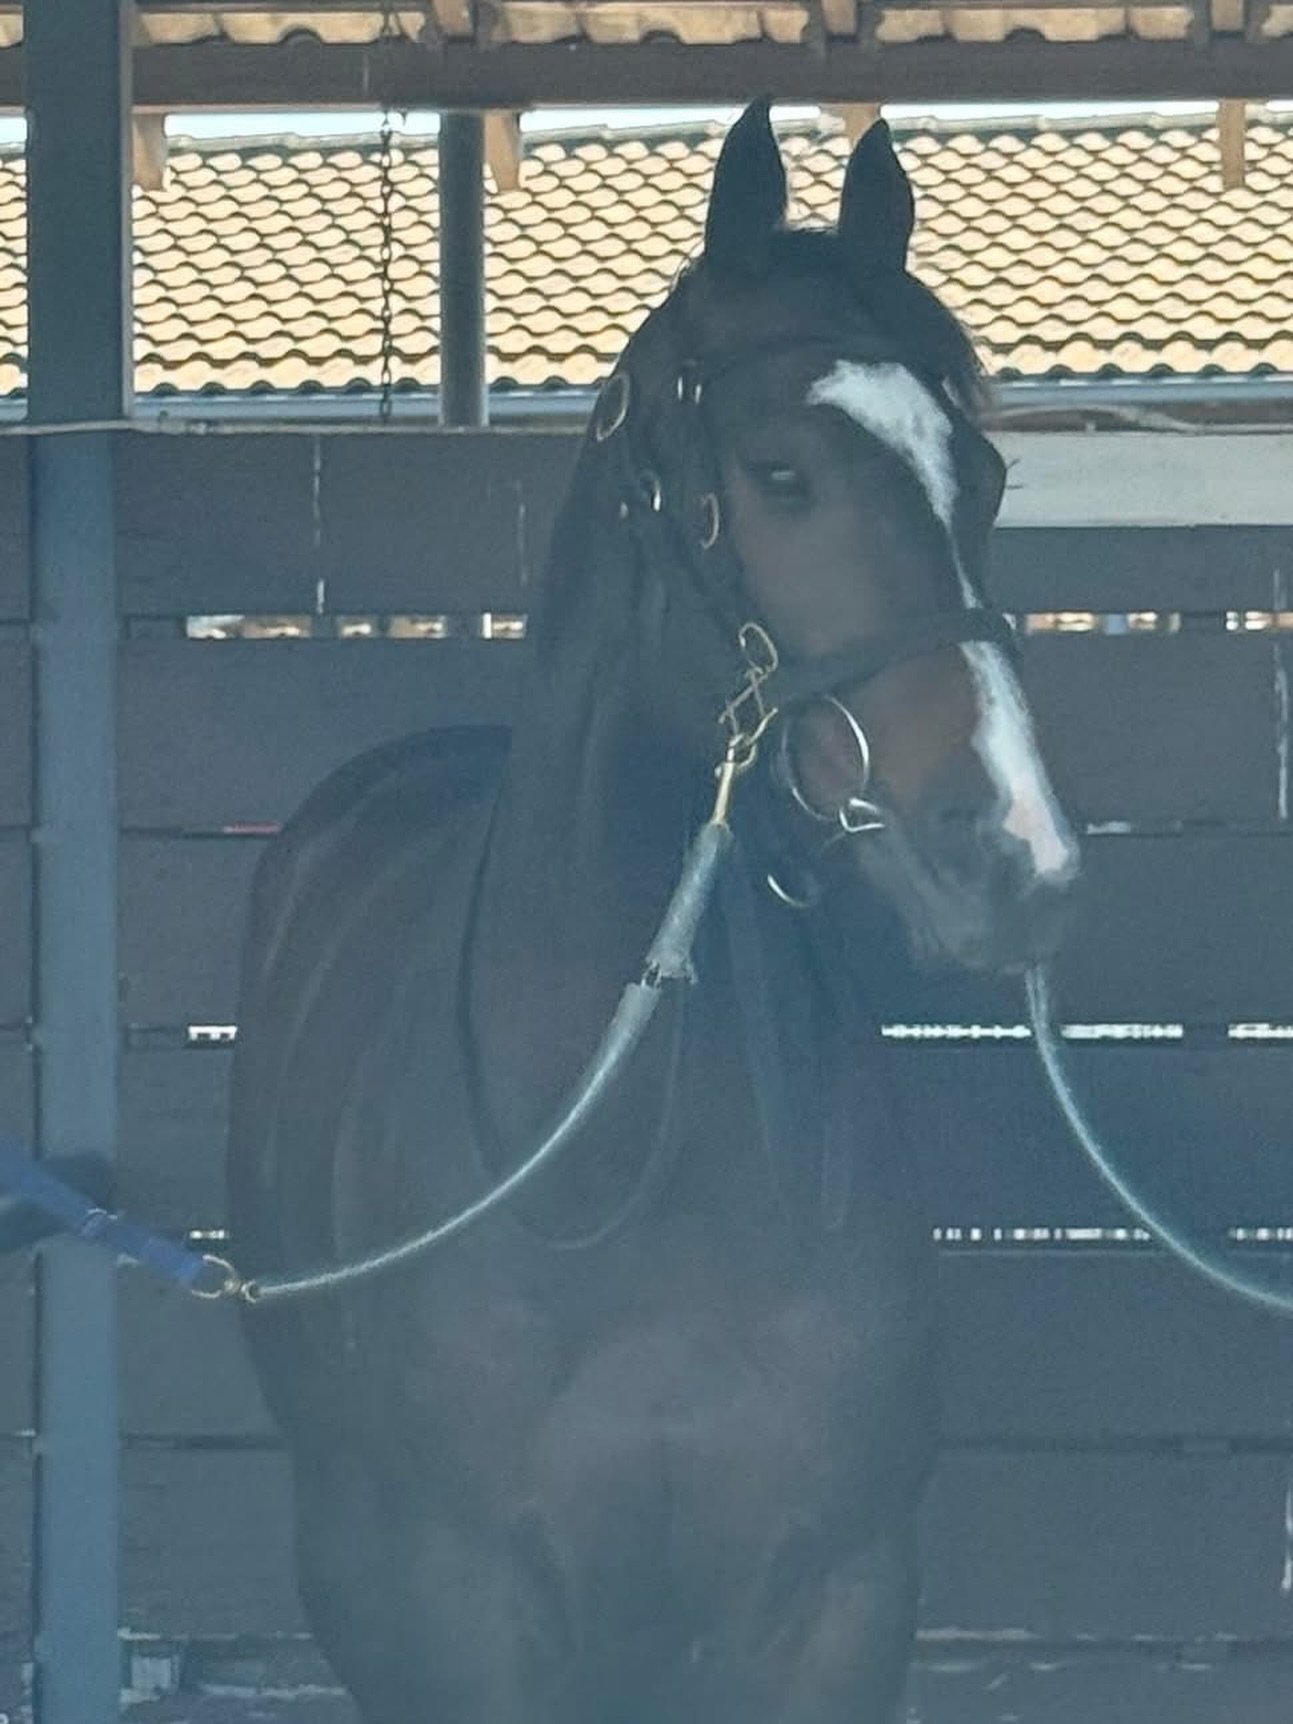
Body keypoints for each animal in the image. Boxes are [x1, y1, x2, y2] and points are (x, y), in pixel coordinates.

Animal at [227, 101, 1079, 1724]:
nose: (1016, 853)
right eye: (780, 473)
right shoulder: (470, 1619)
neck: (632, 1154)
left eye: (986, 476)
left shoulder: (833, 1610)